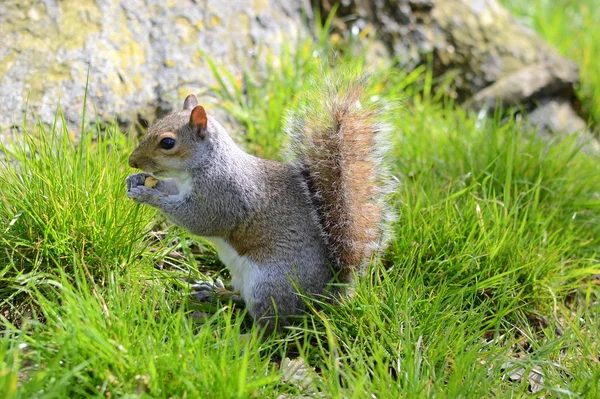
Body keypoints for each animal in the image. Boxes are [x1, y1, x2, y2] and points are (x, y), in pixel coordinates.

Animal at [126, 76, 396, 336]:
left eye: (167, 143)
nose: (132, 162)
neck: (207, 164)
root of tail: (326, 296)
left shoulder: (222, 196)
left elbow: (197, 220)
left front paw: (147, 195)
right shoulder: (183, 186)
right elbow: (168, 188)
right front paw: (138, 181)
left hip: (270, 287)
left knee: (269, 331)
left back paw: (233, 340)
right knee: (242, 300)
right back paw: (216, 292)